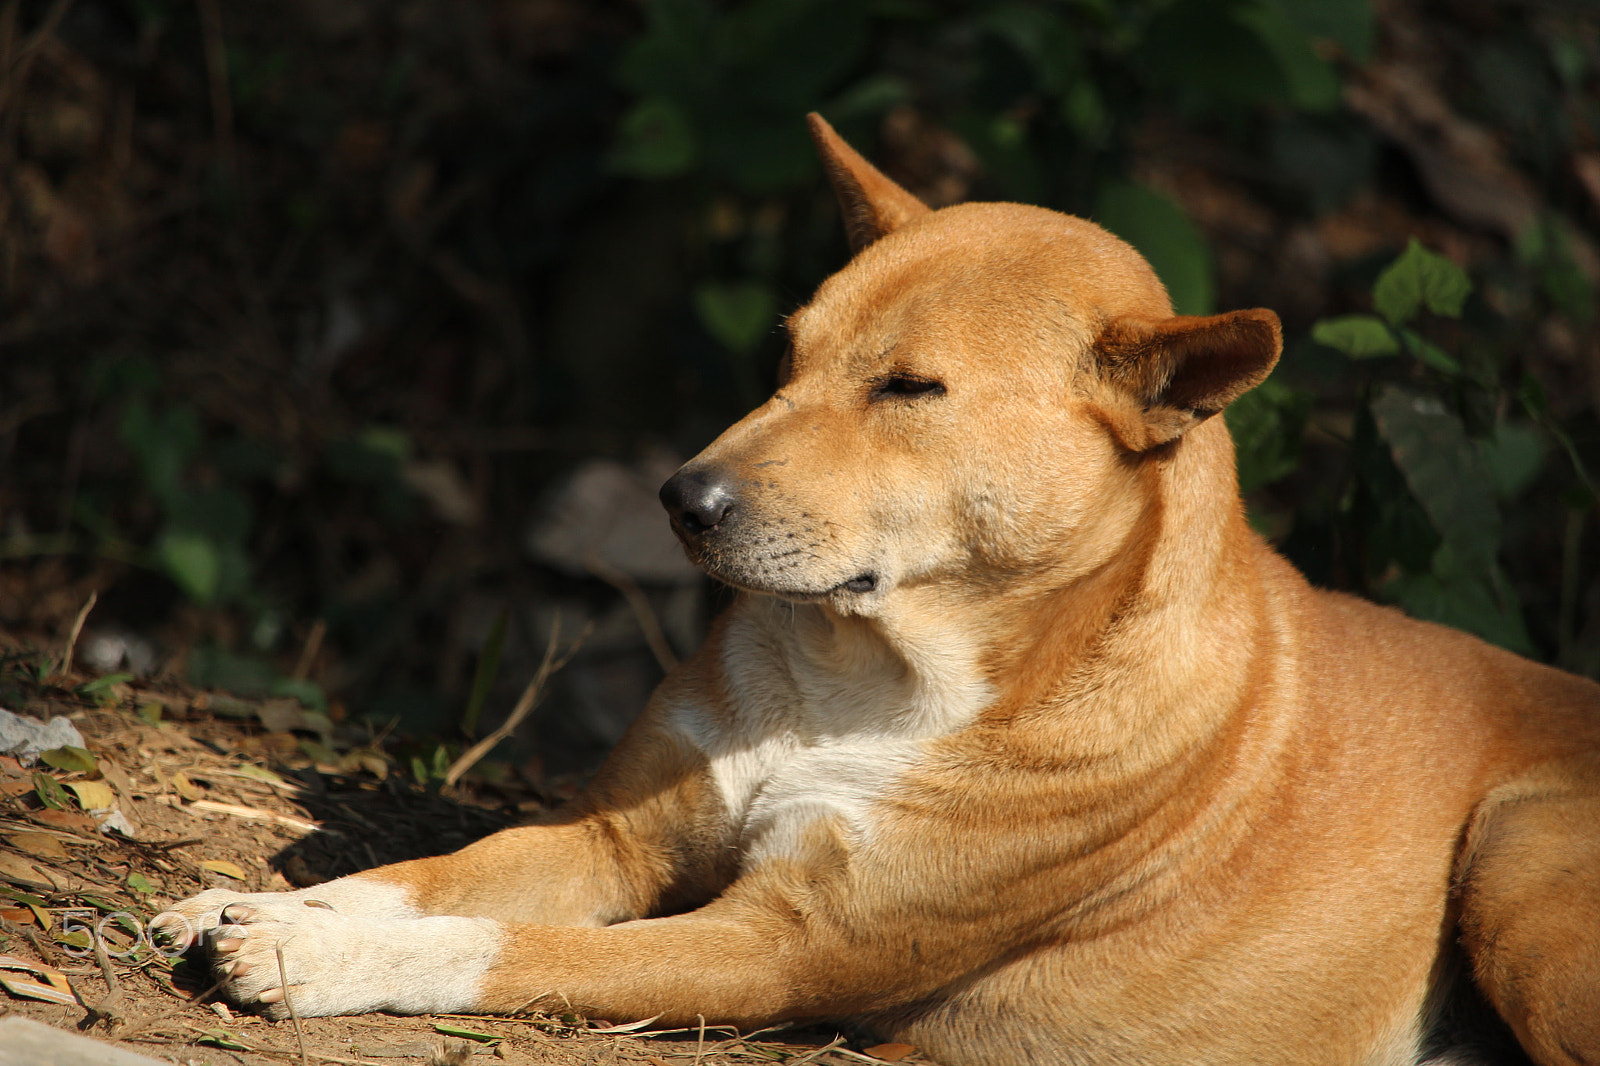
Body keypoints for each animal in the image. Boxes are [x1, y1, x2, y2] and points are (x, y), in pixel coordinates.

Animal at [165, 116, 1600, 1062]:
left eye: (910, 388)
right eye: (789, 349)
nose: (681, 500)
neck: (867, 676)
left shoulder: (777, 946)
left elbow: (507, 947)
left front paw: (314, 951)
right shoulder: (618, 838)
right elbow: (440, 871)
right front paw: (266, 903)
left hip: (1519, 858)